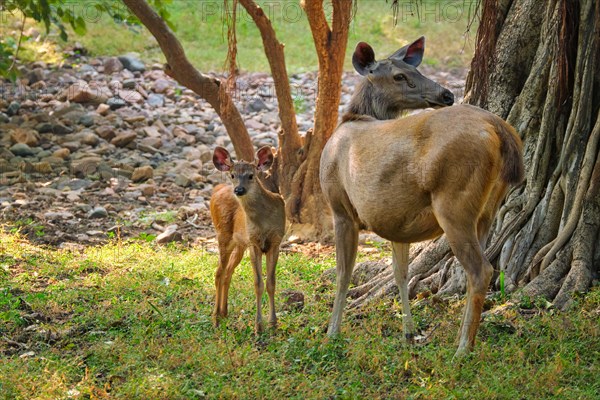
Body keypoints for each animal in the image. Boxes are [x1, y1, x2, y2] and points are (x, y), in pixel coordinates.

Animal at [211, 145, 286, 332]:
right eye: (232, 175)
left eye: (251, 175)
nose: (239, 190)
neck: (263, 221)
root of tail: (216, 189)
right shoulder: (254, 242)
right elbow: (258, 284)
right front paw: (258, 326)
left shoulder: (276, 241)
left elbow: (271, 283)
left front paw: (273, 323)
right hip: (223, 234)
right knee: (219, 272)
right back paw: (215, 318)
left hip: (239, 244)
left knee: (228, 272)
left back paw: (224, 312)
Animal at [322, 37, 524, 356]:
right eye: (399, 76)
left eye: (413, 70)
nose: (446, 94)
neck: (353, 119)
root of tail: (501, 130)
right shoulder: (396, 223)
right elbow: (401, 274)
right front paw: (408, 332)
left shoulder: (340, 207)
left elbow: (344, 273)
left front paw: (332, 333)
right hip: (487, 209)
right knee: (476, 268)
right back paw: (463, 338)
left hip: (453, 203)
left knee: (481, 270)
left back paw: (462, 350)